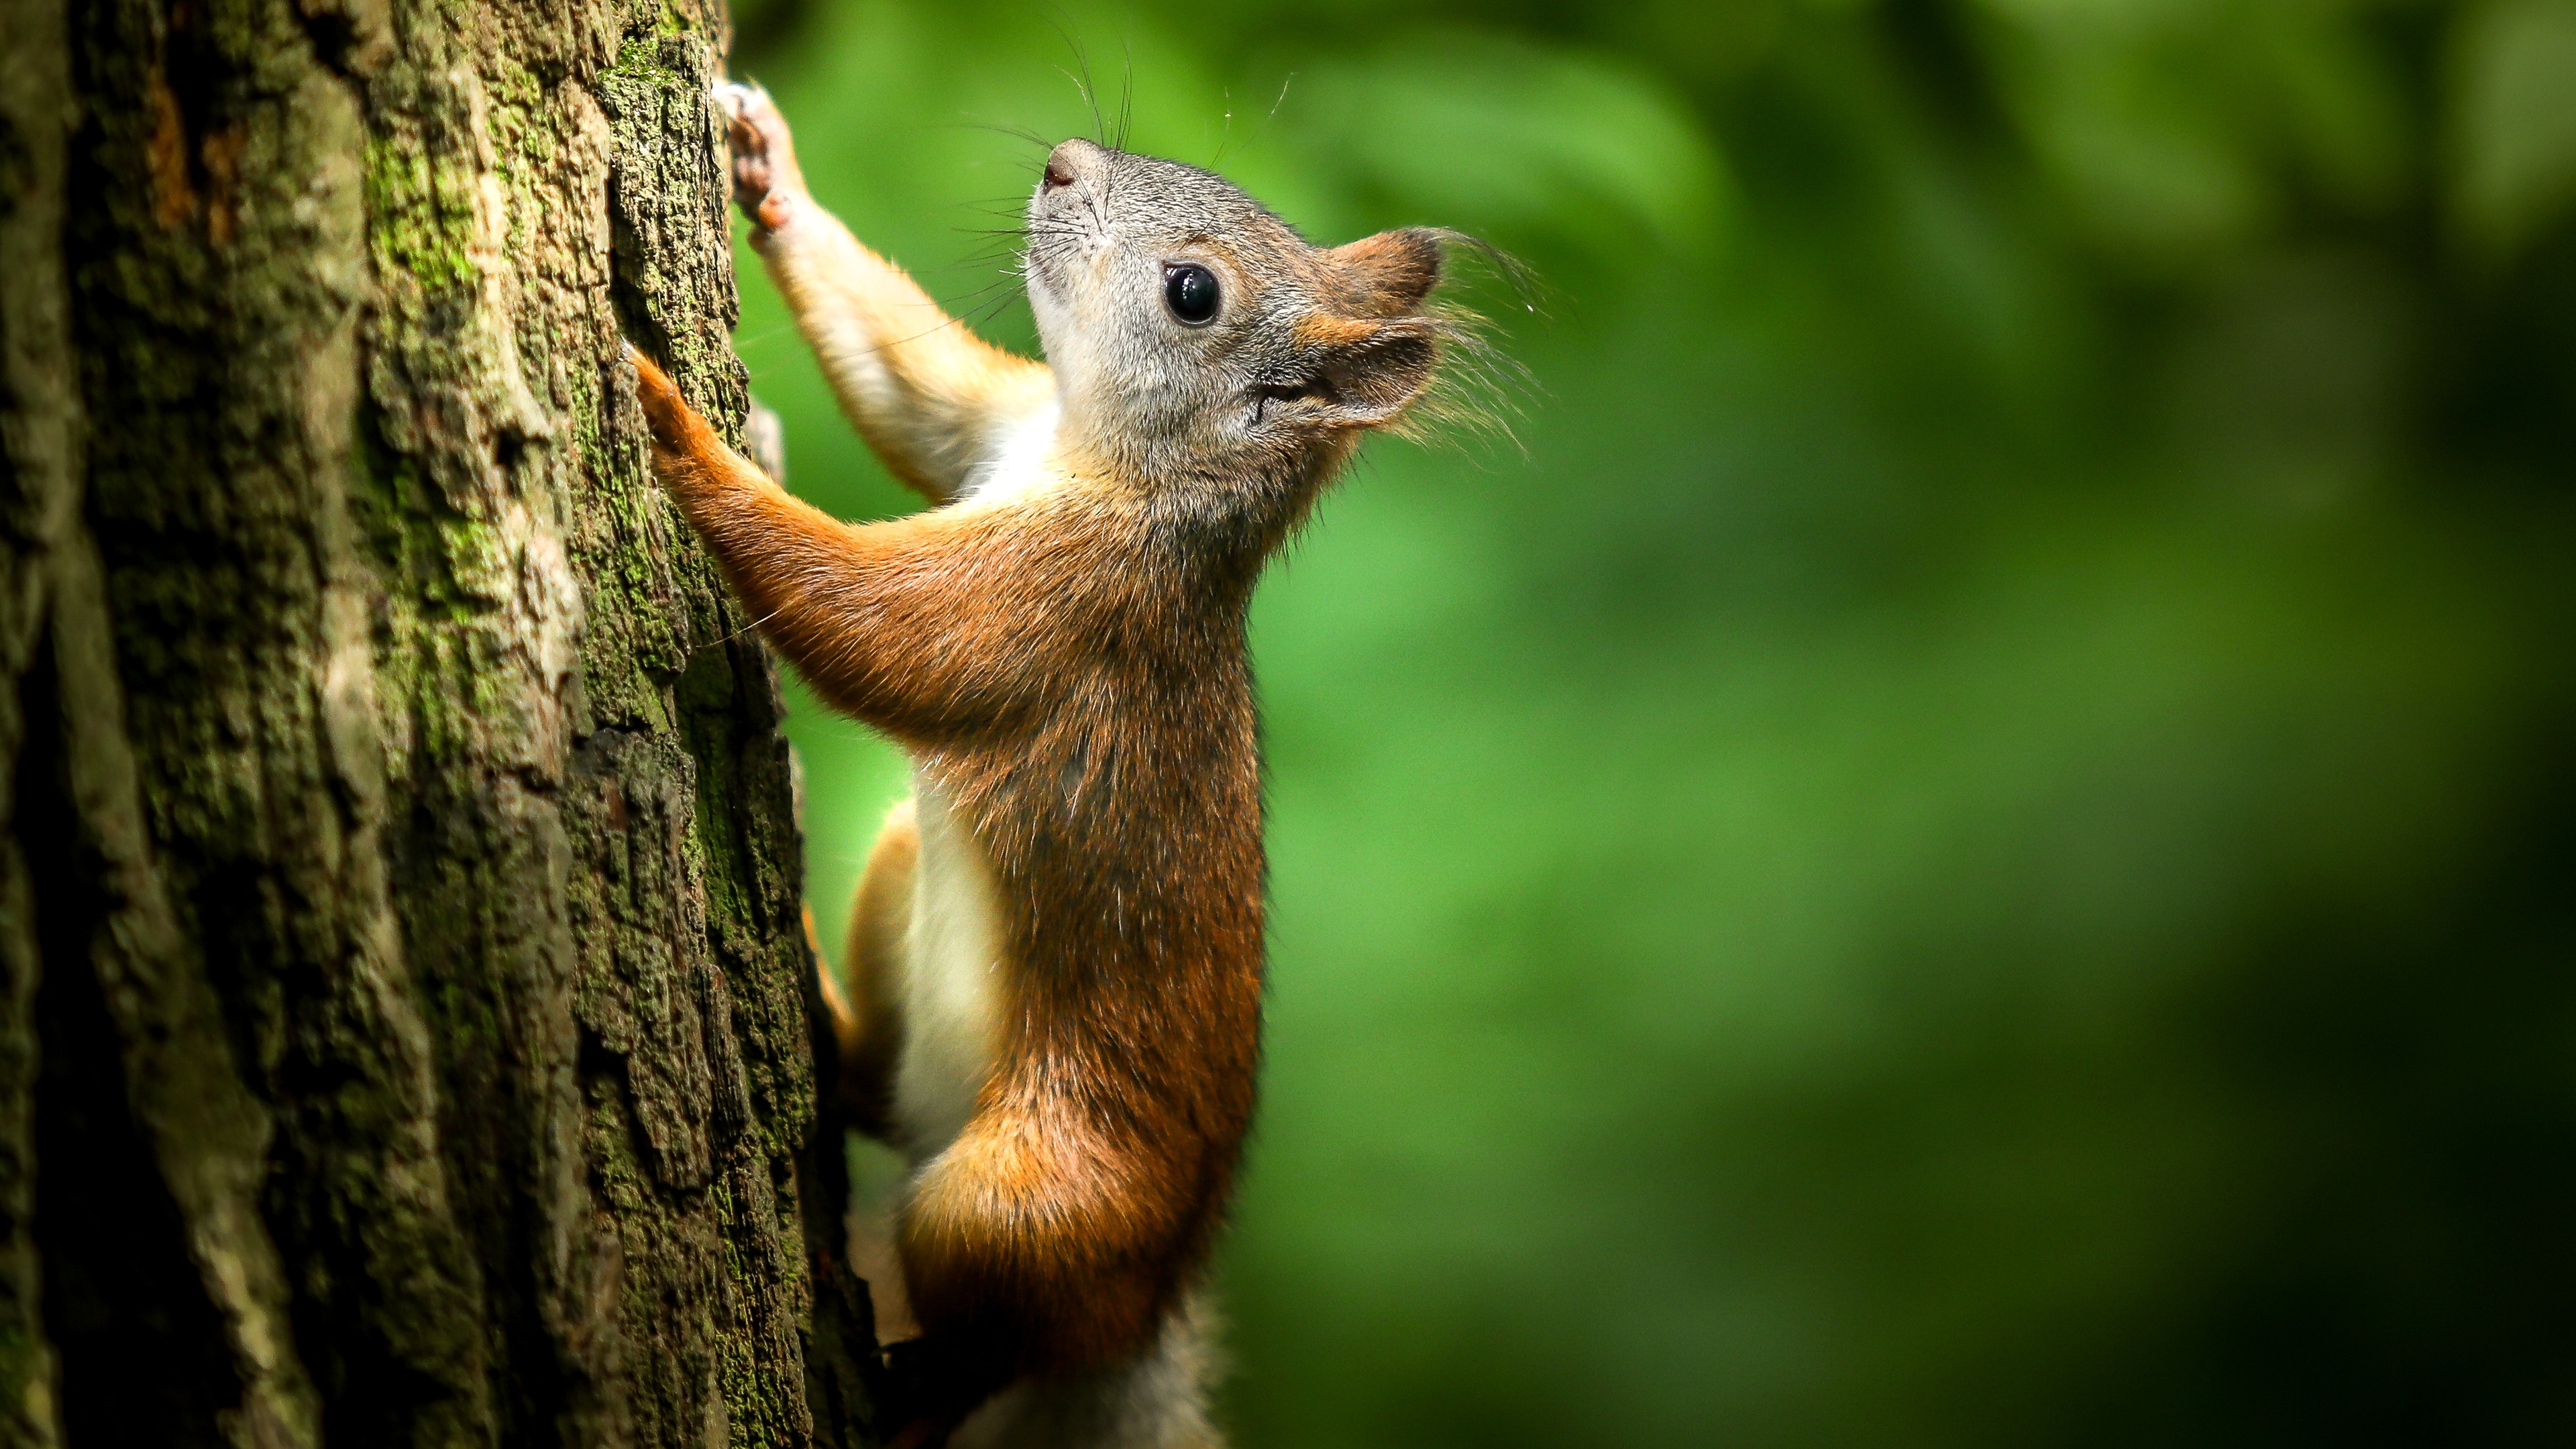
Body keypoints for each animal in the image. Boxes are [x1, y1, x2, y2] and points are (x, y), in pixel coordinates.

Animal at [618, 82, 1473, 1444]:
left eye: (1193, 293)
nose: (1065, 163)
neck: (1105, 461)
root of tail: (1140, 1321)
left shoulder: (1068, 604)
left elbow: (872, 625)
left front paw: (673, 428)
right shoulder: (998, 426)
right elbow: (915, 385)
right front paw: (769, 169)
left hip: (1020, 1205)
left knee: (1001, 1333)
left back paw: (909, 1398)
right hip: (900, 884)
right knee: (878, 1090)